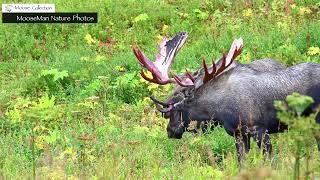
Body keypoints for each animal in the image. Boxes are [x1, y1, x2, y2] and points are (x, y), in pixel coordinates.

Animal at [132, 32, 320, 162]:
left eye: (173, 109)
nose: (170, 131)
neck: (218, 109)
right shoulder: (239, 134)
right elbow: (242, 163)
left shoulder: (260, 130)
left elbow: (271, 162)